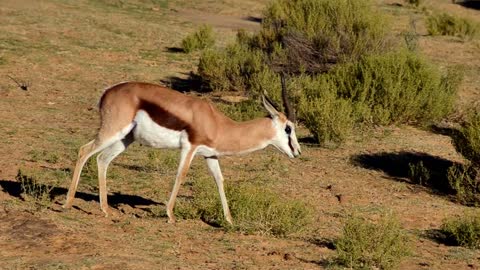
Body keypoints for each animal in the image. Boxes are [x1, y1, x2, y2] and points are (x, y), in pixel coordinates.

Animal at [61, 81, 300, 224]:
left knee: (102, 159)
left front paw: (229, 220)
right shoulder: (190, 147)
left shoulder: (210, 155)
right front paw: (170, 215)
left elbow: (219, 180)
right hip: (113, 131)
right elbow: (181, 175)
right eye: (288, 128)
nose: (297, 152)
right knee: (84, 151)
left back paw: (105, 209)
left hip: (125, 139)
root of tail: (108, 92)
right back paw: (67, 203)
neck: (218, 123)